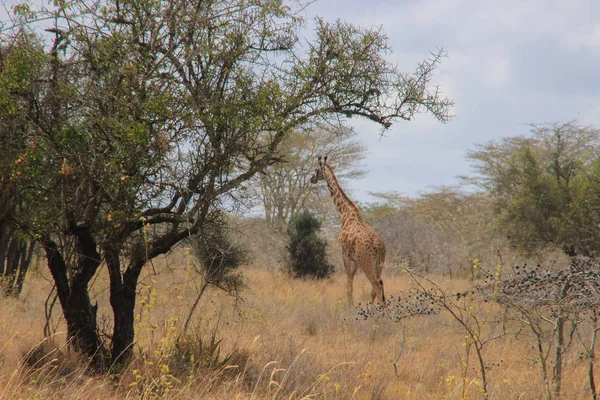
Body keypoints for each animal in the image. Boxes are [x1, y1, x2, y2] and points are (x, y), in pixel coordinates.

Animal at [312, 155, 386, 304]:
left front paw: (349, 306)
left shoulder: (345, 254)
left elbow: (348, 285)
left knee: (376, 285)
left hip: (367, 262)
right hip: (379, 263)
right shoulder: (355, 259)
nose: (312, 179)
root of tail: (379, 247)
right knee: (377, 286)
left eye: (316, 169)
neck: (345, 214)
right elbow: (350, 281)